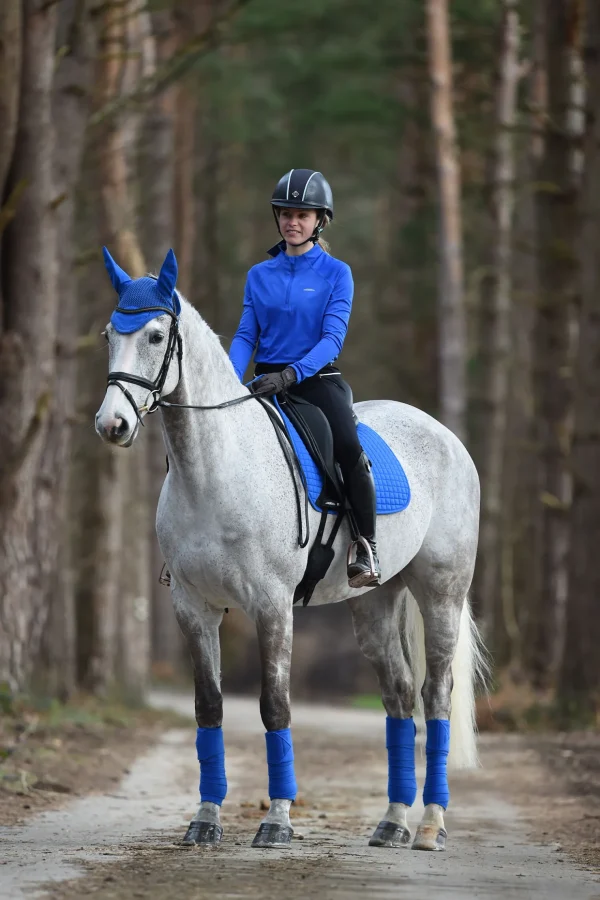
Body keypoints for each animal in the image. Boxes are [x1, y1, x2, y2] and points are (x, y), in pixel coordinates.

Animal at [95, 250, 488, 856]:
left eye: (157, 335)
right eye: (110, 334)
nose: (111, 424)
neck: (214, 472)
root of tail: (445, 436)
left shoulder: (272, 605)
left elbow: (274, 705)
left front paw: (277, 822)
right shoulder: (193, 608)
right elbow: (208, 707)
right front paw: (204, 821)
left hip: (441, 593)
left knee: (435, 695)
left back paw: (428, 827)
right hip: (375, 601)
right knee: (399, 696)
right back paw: (392, 823)